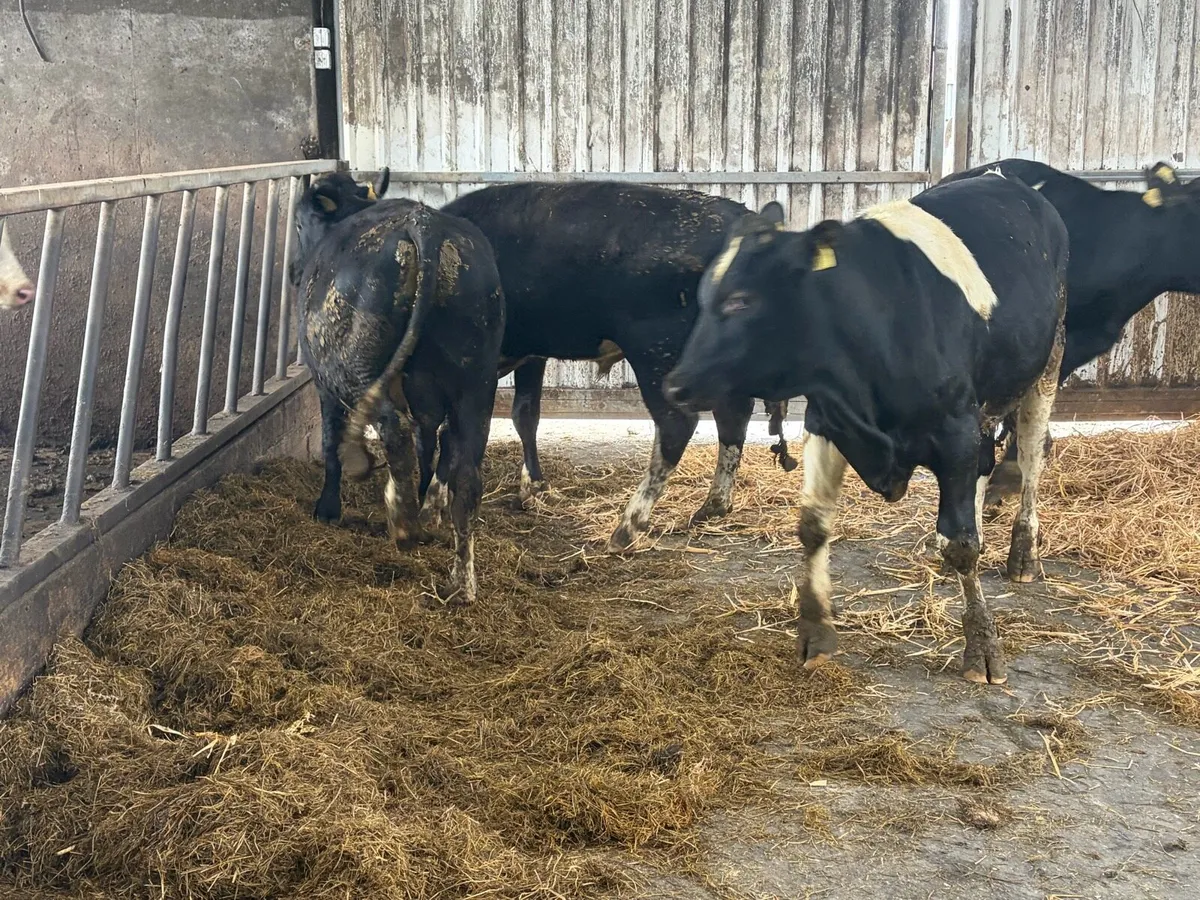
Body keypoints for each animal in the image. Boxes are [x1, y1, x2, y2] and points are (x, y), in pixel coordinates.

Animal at [292, 170, 506, 606]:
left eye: (300, 224)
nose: (292, 271)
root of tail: (426, 225)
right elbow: (430, 446)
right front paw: (427, 503)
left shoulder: (324, 384)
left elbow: (331, 441)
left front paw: (328, 507)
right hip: (476, 384)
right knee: (466, 476)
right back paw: (460, 580)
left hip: (353, 369)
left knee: (395, 430)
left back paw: (403, 523)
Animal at [430, 181, 791, 552]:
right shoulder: (531, 353)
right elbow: (524, 415)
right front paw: (534, 489)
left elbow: (447, 426)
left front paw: (434, 500)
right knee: (734, 414)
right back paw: (714, 504)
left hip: (655, 351)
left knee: (678, 425)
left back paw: (628, 525)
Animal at [662, 173, 1069, 685]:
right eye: (701, 299)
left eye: (741, 301)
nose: (674, 385)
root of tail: (1007, 179)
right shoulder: (826, 420)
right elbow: (813, 525)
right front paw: (815, 633)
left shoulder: (954, 432)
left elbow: (961, 544)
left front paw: (982, 644)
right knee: (985, 466)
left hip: (1046, 365)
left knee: (1033, 455)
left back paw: (1023, 555)